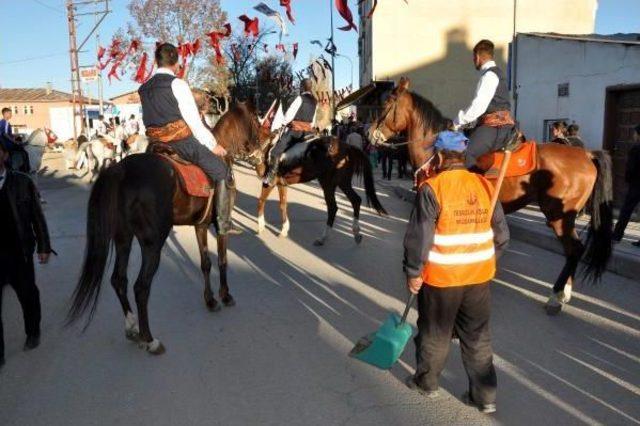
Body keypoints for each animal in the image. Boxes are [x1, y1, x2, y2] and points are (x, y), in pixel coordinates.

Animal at [69, 101, 268, 354]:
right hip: (152, 243)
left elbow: (205, 263)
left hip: (123, 238)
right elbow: (222, 260)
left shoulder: (201, 226)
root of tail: (120, 171)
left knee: (119, 280)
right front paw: (225, 296)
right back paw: (150, 339)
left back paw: (132, 327)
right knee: (141, 287)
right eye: (256, 121)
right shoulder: (219, 227)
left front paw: (210, 300)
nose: (262, 159)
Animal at [254, 133, 384, 246]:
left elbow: (261, 201)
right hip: (341, 182)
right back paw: (355, 233)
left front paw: (260, 227)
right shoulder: (281, 184)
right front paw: (284, 230)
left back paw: (324, 237)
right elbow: (282, 205)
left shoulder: (268, 182)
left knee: (333, 207)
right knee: (355, 200)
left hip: (329, 183)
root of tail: (349, 147)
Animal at [370, 79, 616, 316]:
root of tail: (587, 154)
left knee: (574, 249)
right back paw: (565, 293)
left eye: (385, 104)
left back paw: (556, 297)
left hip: (558, 215)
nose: (369, 134)